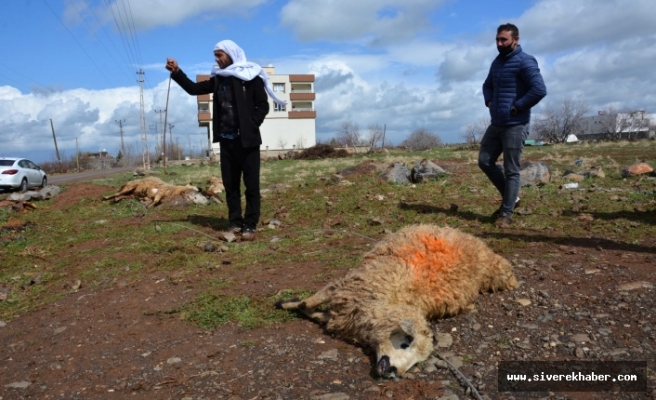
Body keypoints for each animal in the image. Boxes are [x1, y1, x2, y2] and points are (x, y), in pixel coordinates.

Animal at [274, 225, 516, 378]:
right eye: (406, 342)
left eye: (417, 361)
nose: (394, 372)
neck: (389, 299)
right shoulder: (346, 289)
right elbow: (311, 303)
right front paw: (286, 304)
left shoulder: (347, 307)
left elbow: (317, 313)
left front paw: (295, 306)